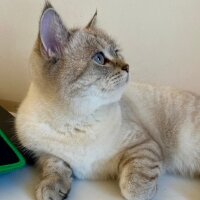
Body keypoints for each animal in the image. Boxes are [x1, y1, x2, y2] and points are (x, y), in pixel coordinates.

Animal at [16, 1, 200, 200]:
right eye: (99, 58)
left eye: (117, 52)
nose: (127, 66)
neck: (75, 120)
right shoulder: (44, 154)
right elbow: (54, 165)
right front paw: (51, 188)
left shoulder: (142, 144)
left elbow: (133, 185)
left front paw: (145, 190)